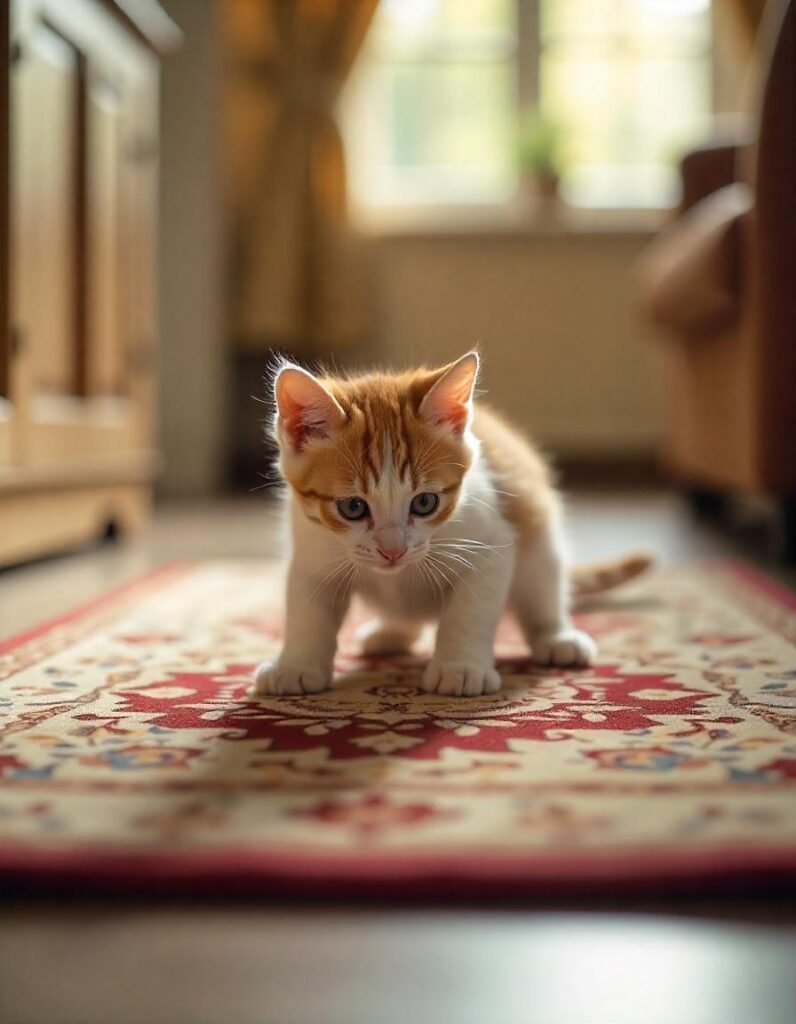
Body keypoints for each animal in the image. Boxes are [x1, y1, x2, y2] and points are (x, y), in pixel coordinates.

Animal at [255, 352, 647, 696]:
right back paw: (391, 634)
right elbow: (308, 609)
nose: (393, 551)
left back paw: (556, 638)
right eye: (353, 507)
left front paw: (460, 666)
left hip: (539, 538)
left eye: (425, 502)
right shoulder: (312, 548)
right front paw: (296, 665)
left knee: (543, 585)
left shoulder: (492, 541)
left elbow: (470, 611)